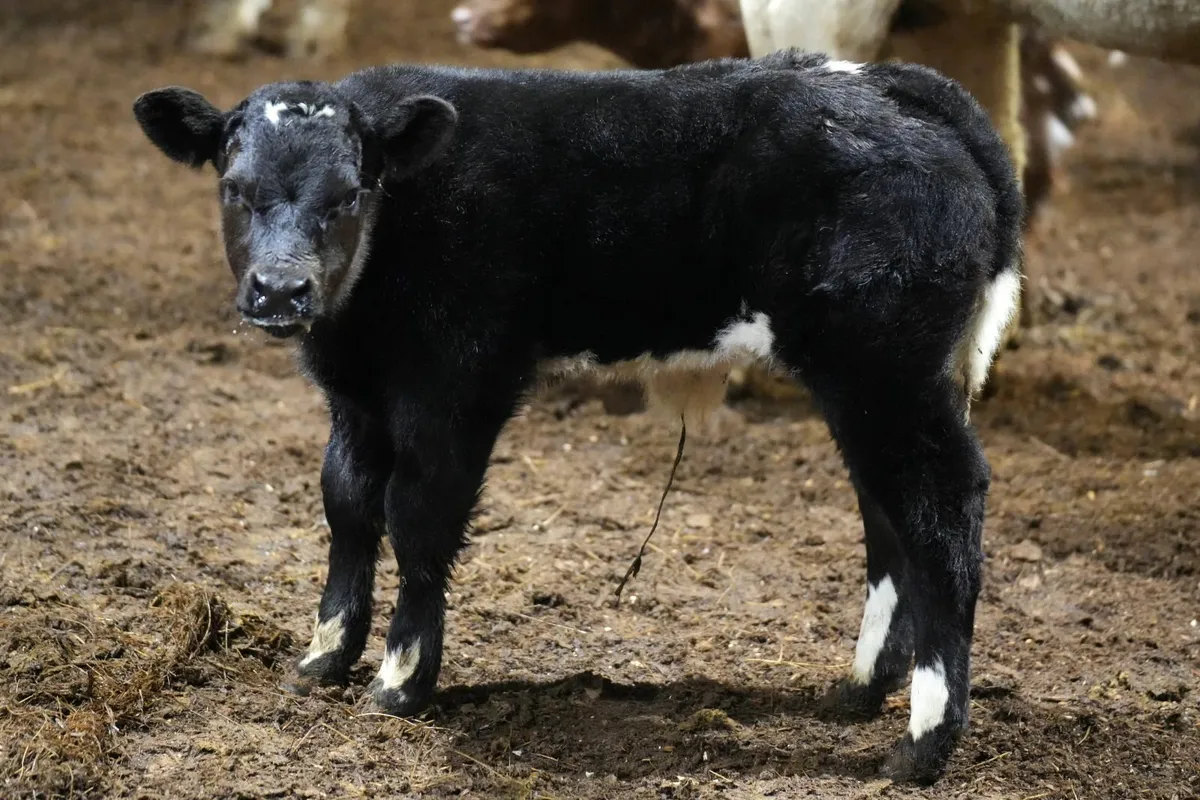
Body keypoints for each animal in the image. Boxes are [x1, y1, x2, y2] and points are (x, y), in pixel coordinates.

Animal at [132, 51, 1022, 783]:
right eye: (234, 190)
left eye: (350, 193)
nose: (282, 291)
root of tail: (883, 82)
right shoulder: (356, 395)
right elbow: (347, 506)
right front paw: (323, 656)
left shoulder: (460, 379)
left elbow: (417, 517)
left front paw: (401, 680)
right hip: (869, 382)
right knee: (887, 515)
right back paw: (861, 689)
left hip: (885, 370)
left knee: (942, 509)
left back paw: (922, 743)